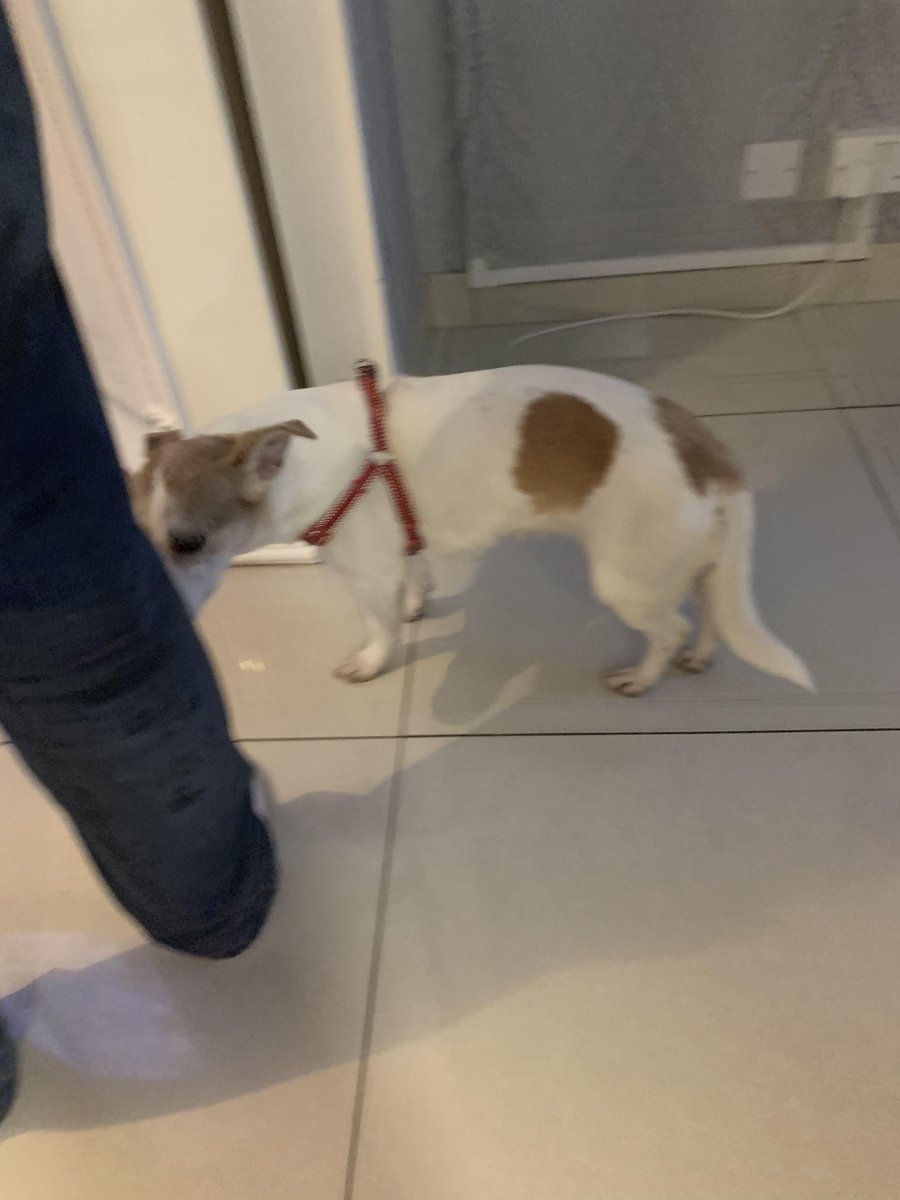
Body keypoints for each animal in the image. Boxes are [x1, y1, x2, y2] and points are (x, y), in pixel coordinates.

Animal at [129, 364, 812, 696]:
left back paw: (644, 676)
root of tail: (706, 451)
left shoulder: (367, 574)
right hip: (683, 557)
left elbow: (378, 628)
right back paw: (701, 654)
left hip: (628, 581)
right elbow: (418, 578)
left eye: (188, 543)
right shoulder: (405, 548)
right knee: (710, 606)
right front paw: (418, 601)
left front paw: (372, 660)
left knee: (670, 627)